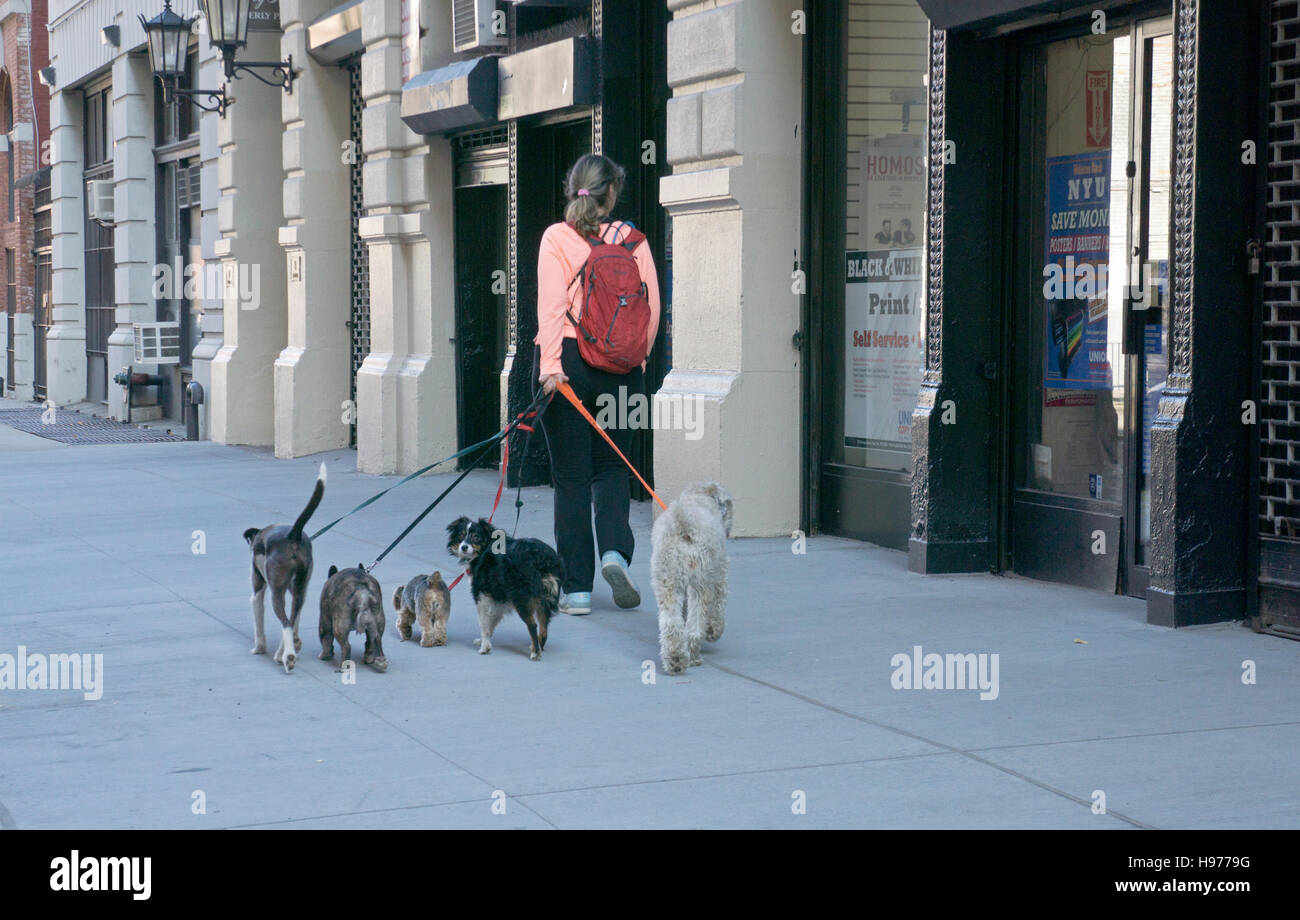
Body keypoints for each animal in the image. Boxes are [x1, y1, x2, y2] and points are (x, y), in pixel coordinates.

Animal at [244, 462, 327, 670]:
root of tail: (293, 534)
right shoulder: (299, 590)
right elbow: (295, 619)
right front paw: (295, 642)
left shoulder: (257, 592)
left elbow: (259, 623)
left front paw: (259, 648)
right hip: (299, 588)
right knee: (291, 618)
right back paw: (287, 650)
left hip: (276, 591)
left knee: (285, 622)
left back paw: (288, 656)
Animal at [447, 517, 564, 660]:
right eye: (461, 535)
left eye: (476, 537)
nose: (464, 547)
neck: (485, 548)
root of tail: (542, 558)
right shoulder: (497, 596)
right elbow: (491, 622)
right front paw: (484, 641)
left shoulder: (481, 596)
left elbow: (484, 623)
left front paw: (484, 647)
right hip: (543, 598)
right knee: (544, 626)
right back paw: (537, 647)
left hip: (521, 598)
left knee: (533, 625)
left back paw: (535, 653)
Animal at [650, 480, 733, 675]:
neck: (701, 497)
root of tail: (684, 525)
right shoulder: (719, 577)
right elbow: (718, 608)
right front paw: (713, 631)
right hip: (700, 583)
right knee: (694, 626)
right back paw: (693, 656)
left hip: (667, 582)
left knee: (671, 624)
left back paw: (676, 660)